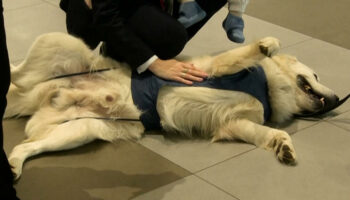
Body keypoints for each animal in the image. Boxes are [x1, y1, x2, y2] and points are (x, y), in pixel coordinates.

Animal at [4, 32, 342, 180]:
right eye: (315, 75)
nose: (338, 100)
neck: (267, 88)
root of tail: (47, 91)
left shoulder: (234, 124)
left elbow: (268, 134)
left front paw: (283, 147)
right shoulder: (217, 68)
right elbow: (247, 53)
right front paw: (267, 44)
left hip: (80, 128)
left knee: (24, 146)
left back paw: (13, 165)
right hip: (58, 41)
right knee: (16, 72)